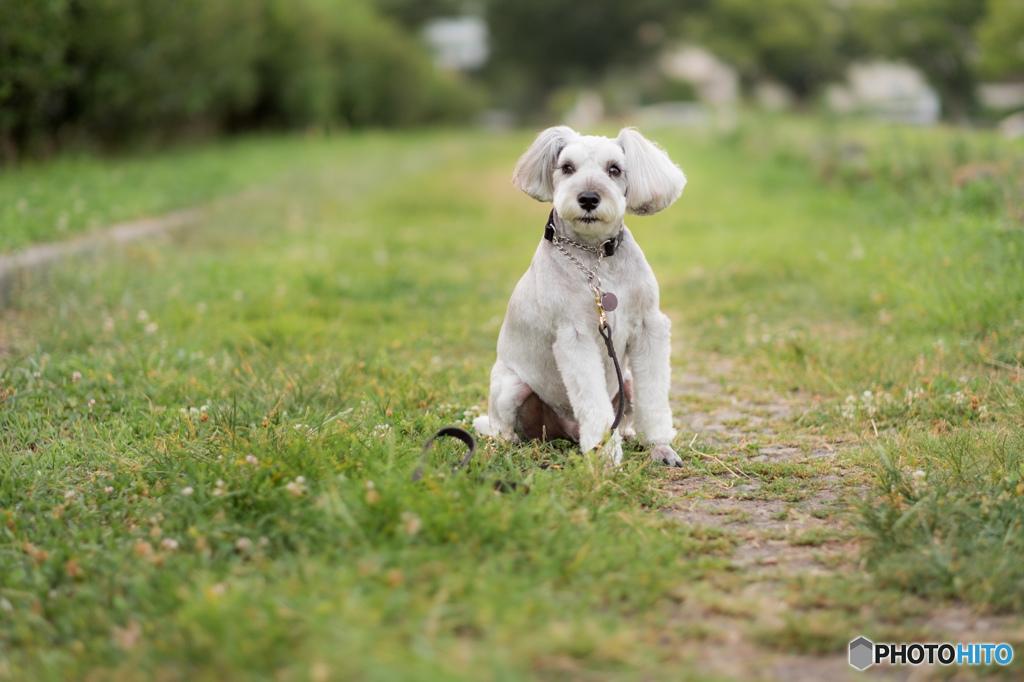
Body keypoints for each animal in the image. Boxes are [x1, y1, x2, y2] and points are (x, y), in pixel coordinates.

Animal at [473, 125, 688, 466]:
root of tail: (566, 431)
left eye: (614, 170)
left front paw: (660, 445)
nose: (588, 198)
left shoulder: (648, 327)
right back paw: (510, 442)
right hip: (511, 386)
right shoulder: (576, 337)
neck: (595, 256)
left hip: (627, 380)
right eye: (567, 168)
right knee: (500, 425)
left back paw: (628, 435)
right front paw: (605, 455)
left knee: (625, 415)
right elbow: (592, 401)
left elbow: (654, 398)